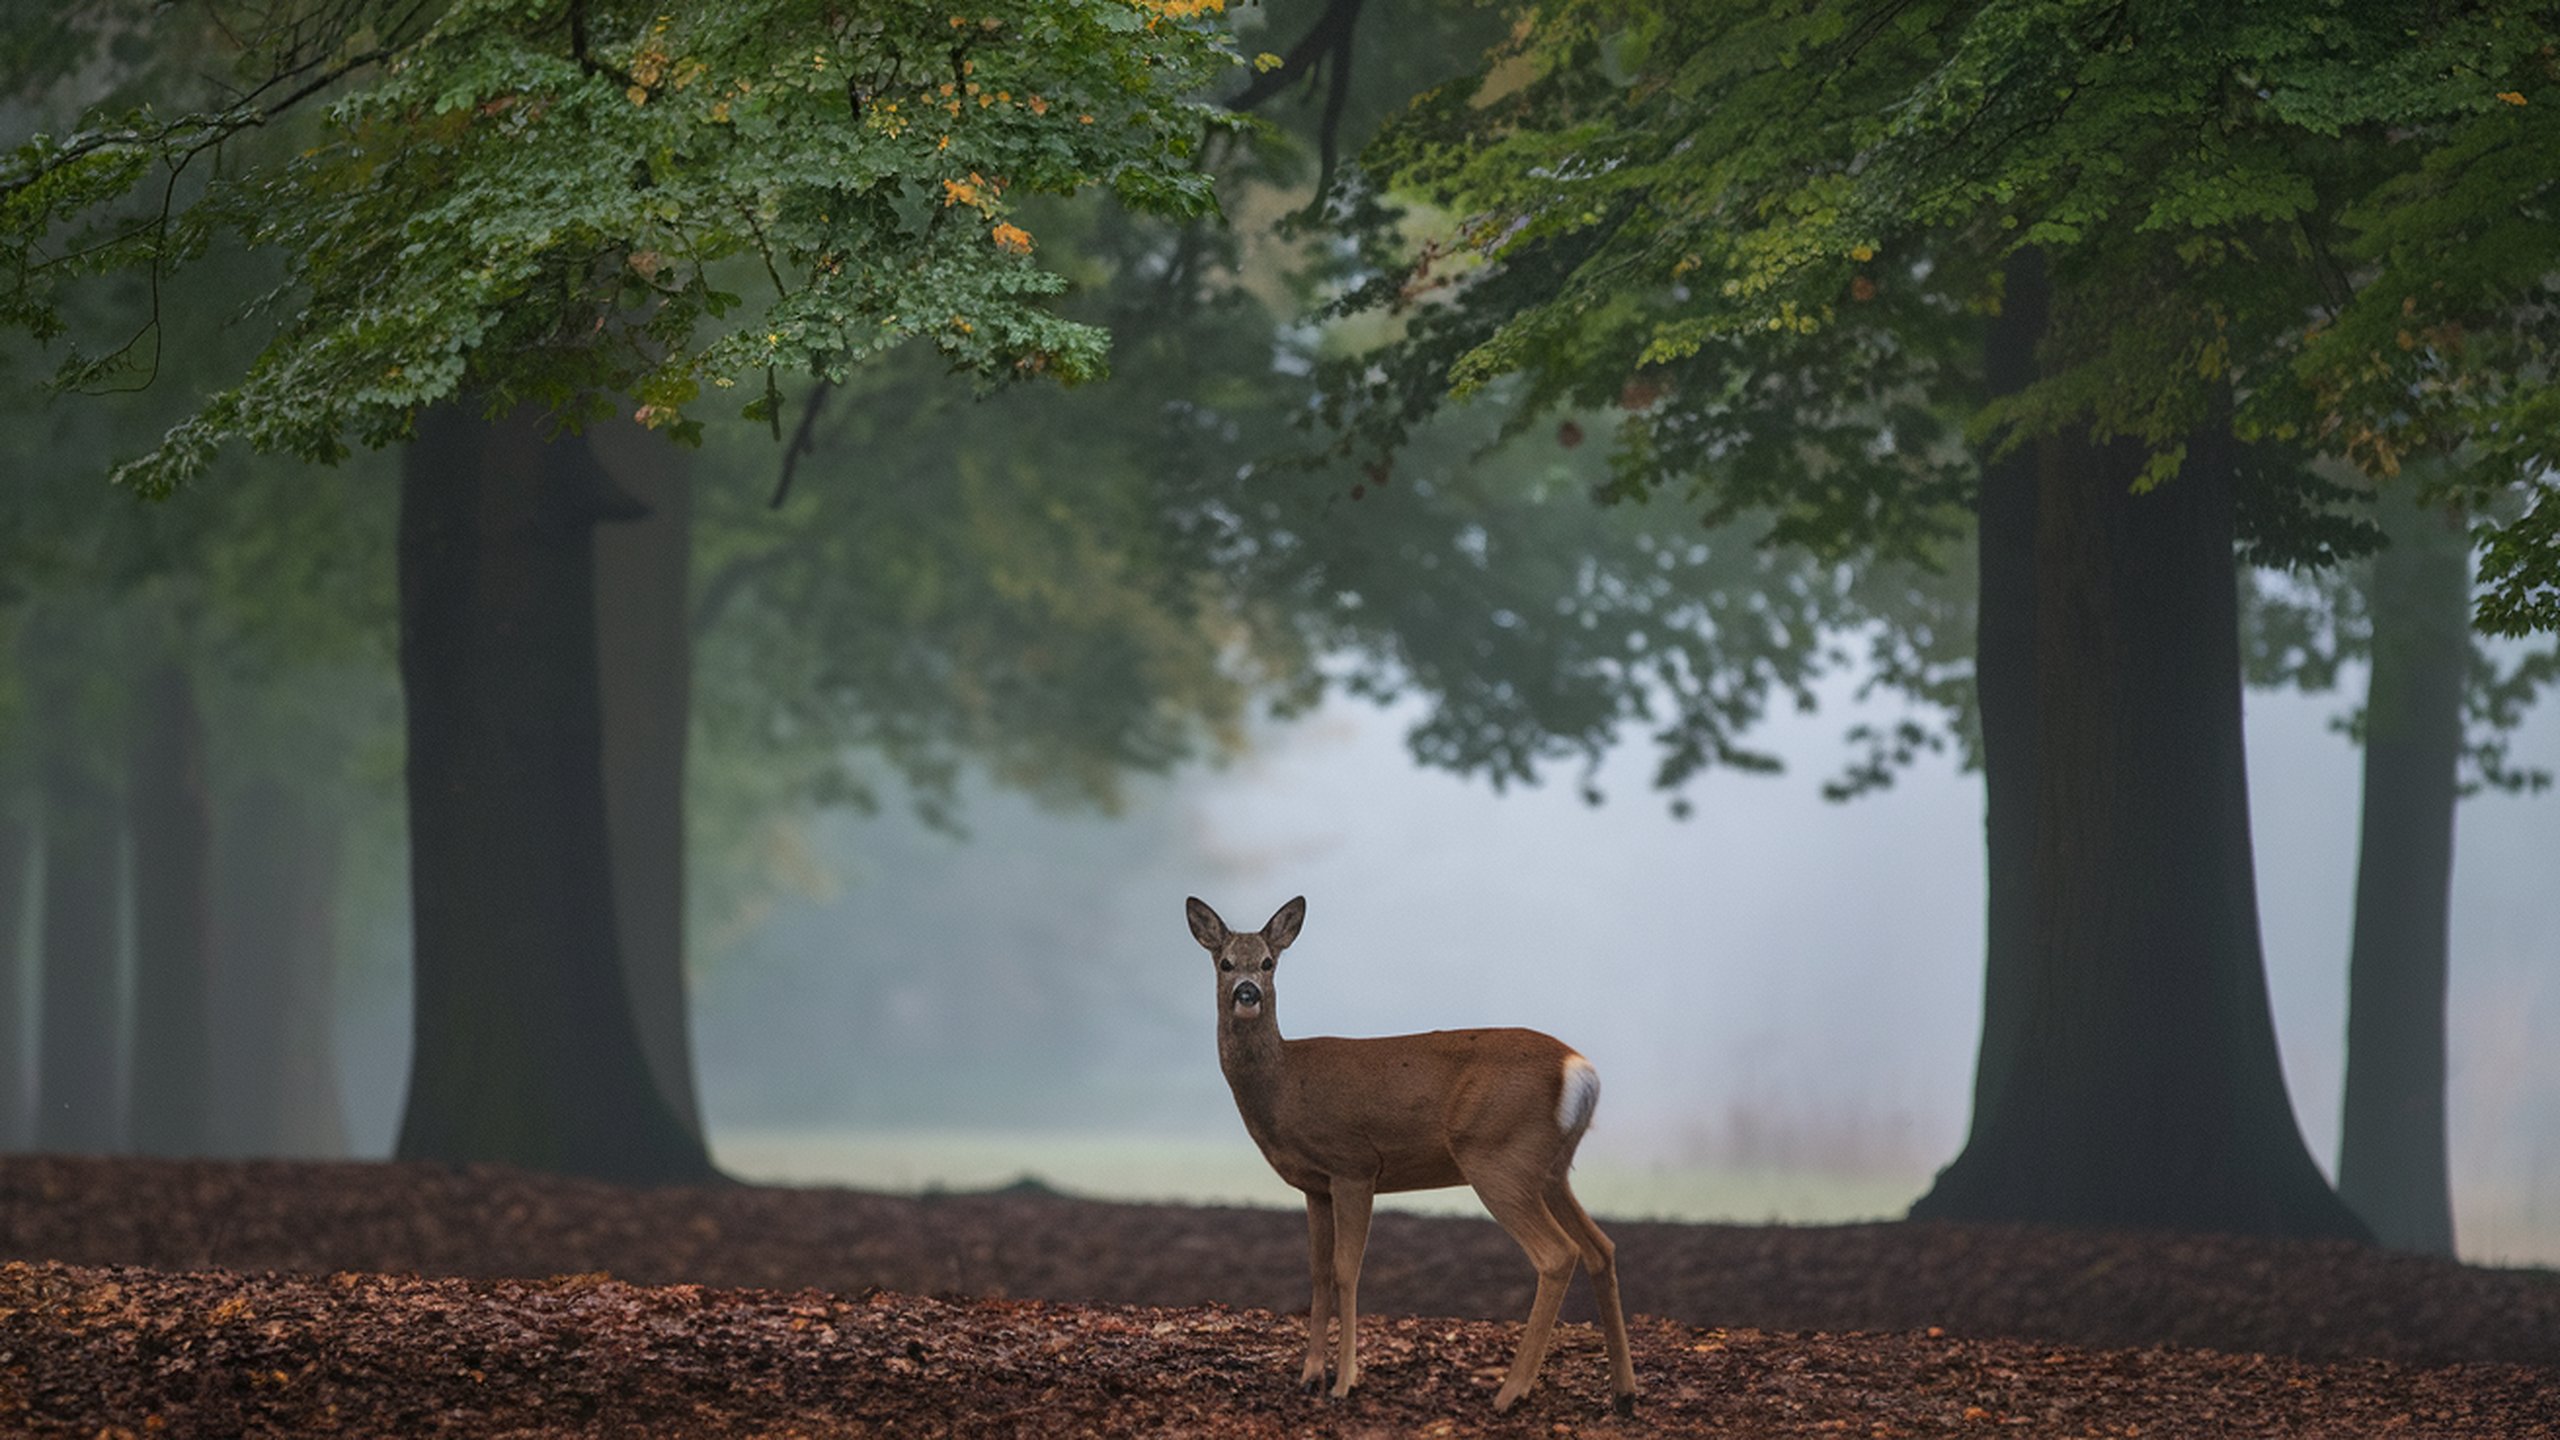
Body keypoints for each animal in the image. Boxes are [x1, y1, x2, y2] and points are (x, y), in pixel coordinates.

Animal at [1182, 891, 1638, 1404]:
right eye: (1224, 962)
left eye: (1267, 962)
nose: (1247, 993)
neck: (1283, 1083)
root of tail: (1580, 1070)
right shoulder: (1314, 1186)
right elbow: (1317, 1271)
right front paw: (1310, 1375)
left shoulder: (1354, 1164)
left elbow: (1346, 1270)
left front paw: (1344, 1381)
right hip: (1551, 1168)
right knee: (1601, 1246)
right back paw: (1623, 1392)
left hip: (1499, 1155)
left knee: (1558, 1254)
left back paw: (1510, 1393)